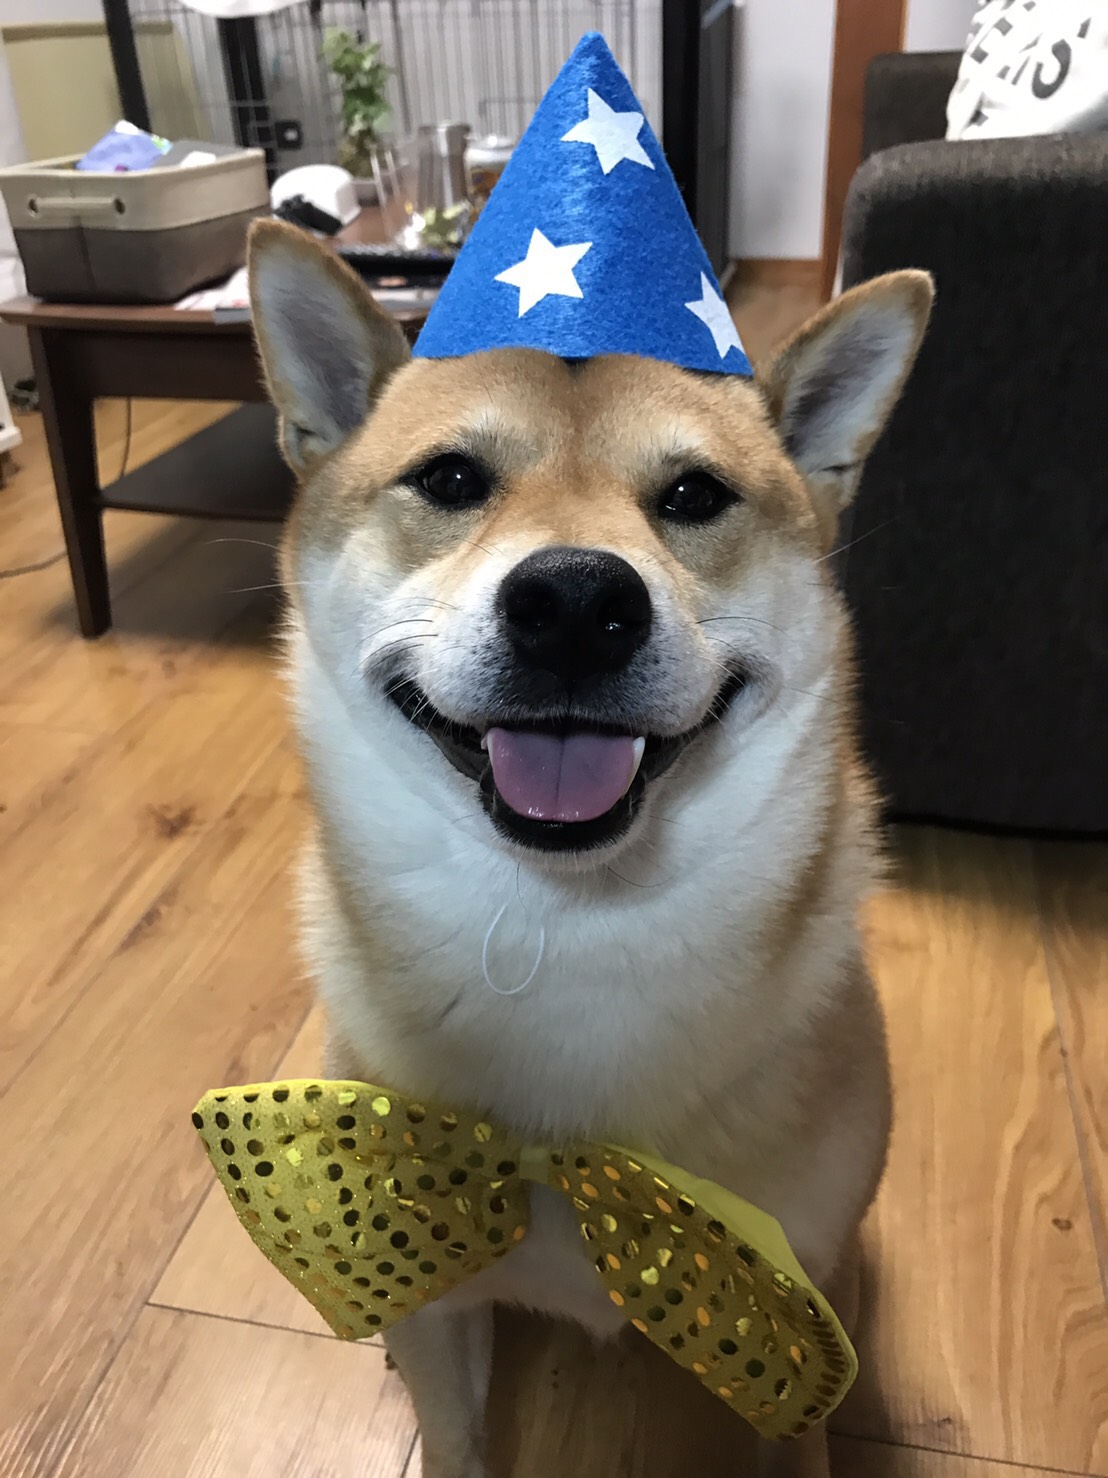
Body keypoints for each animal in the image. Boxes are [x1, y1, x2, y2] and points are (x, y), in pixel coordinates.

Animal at [247, 217, 932, 1477]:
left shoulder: (792, 1318)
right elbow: (454, 1433)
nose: (572, 599)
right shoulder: (441, 1301)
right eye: (452, 479)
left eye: (695, 494)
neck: (564, 930)